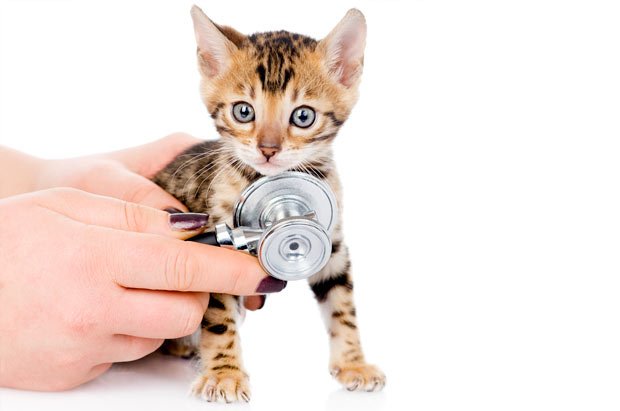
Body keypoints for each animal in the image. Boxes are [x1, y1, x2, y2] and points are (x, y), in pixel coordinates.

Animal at [153, 6, 386, 404]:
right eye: (244, 112)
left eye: (303, 116)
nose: (268, 148)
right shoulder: (217, 247)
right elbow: (218, 318)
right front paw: (225, 374)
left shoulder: (333, 243)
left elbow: (342, 306)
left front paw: (353, 363)